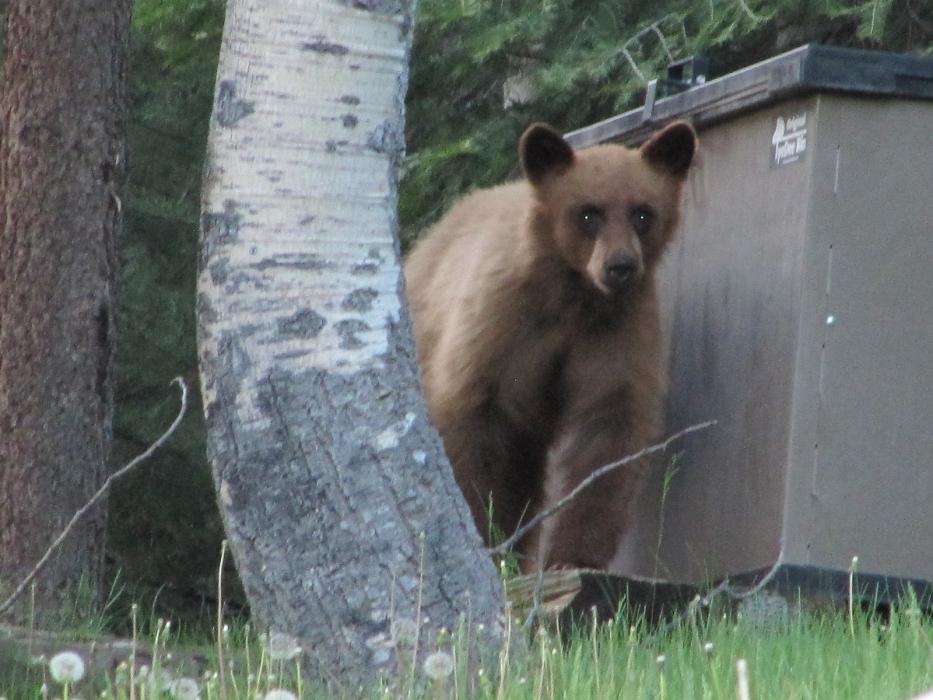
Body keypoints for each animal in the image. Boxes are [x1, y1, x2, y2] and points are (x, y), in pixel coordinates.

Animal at [404, 120, 696, 572]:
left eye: (643, 213)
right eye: (588, 212)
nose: (621, 267)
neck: (572, 297)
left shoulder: (615, 335)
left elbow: (606, 434)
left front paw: (572, 558)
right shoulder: (501, 327)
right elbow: (470, 419)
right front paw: (485, 531)